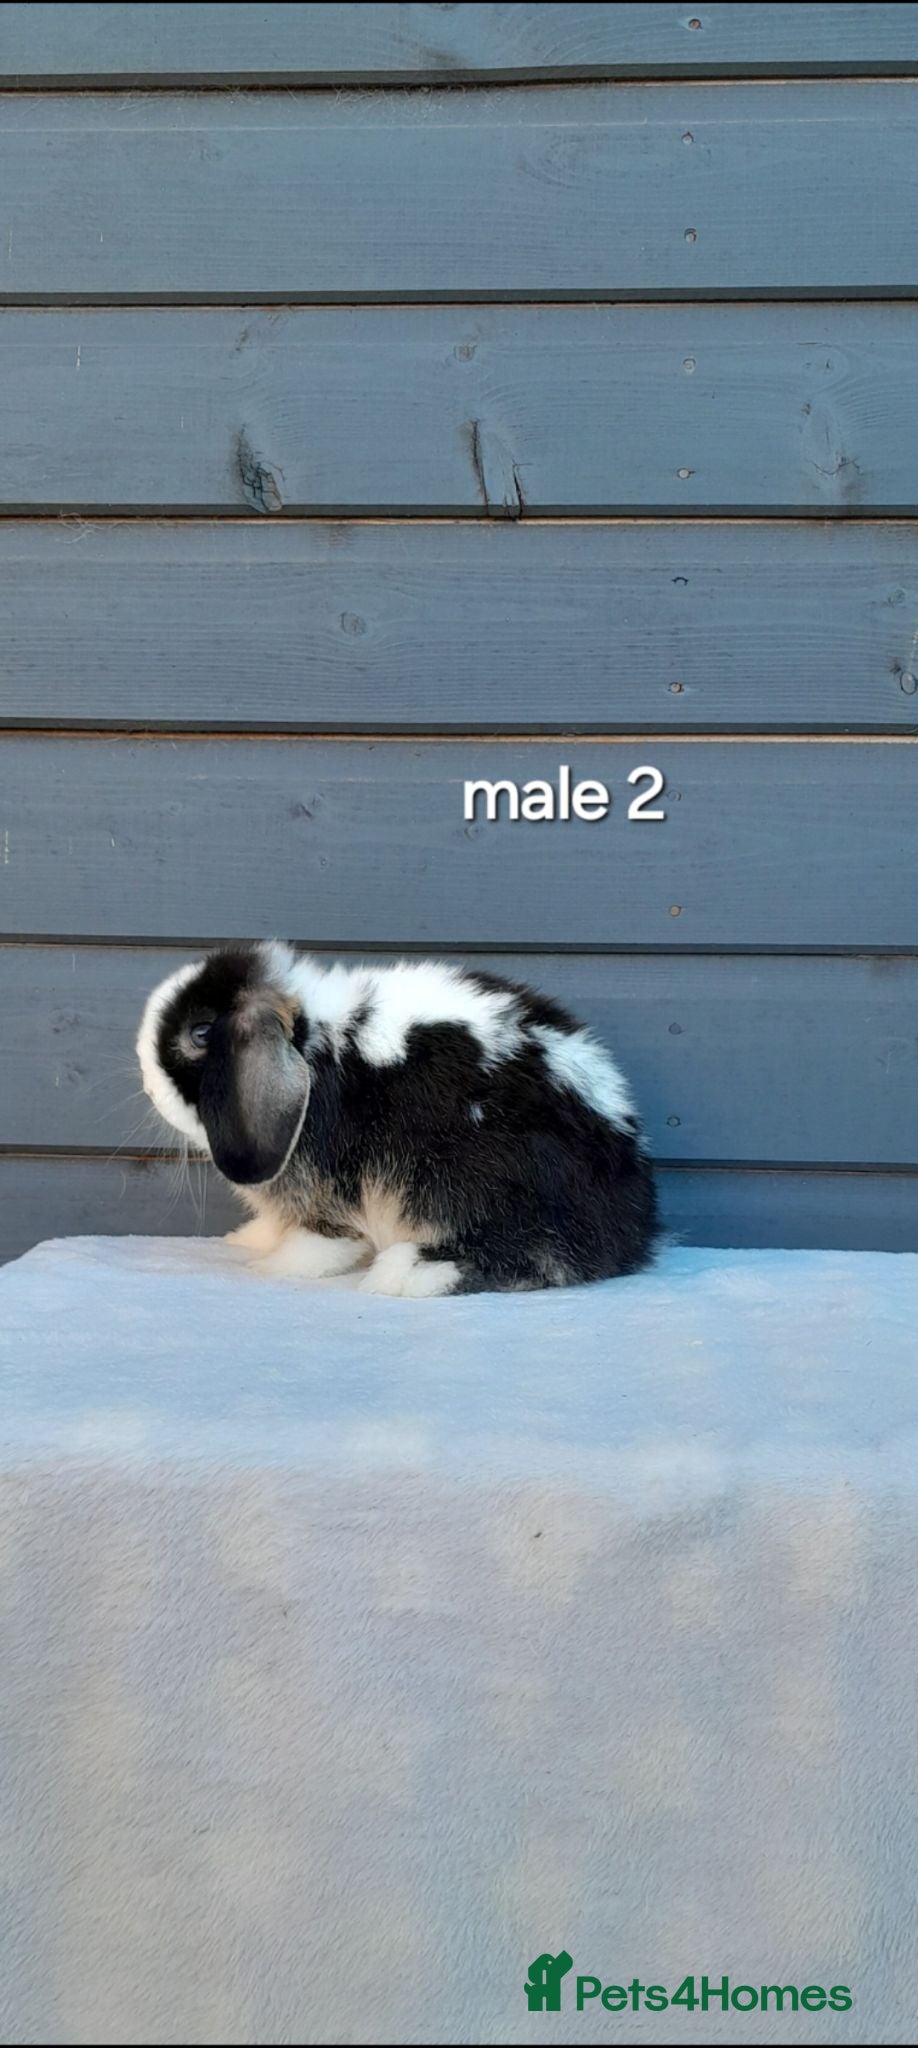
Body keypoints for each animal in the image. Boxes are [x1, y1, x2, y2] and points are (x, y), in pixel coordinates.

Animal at [137, 941, 658, 1297]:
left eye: (201, 1032)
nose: (148, 1085)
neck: (312, 1046)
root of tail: (633, 1222)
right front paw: (249, 1240)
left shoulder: (328, 1193)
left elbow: (324, 1241)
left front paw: (278, 1266)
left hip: (464, 1179)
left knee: (539, 1255)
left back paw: (409, 1271)